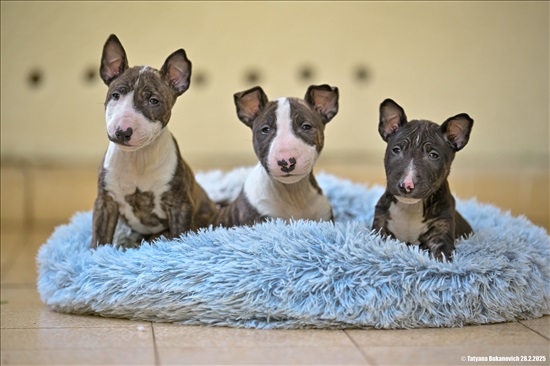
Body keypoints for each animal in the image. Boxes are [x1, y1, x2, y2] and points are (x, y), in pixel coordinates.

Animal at [91, 34, 218, 247]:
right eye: (115, 95)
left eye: (153, 101)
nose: (122, 132)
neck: (137, 158)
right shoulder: (105, 202)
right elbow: (99, 240)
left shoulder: (179, 206)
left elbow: (179, 236)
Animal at [374, 98, 476, 262]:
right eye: (396, 150)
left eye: (433, 155)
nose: (406, 185)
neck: (410, 208)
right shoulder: (380, 228)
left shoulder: (441, 232)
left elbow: (442, 256)